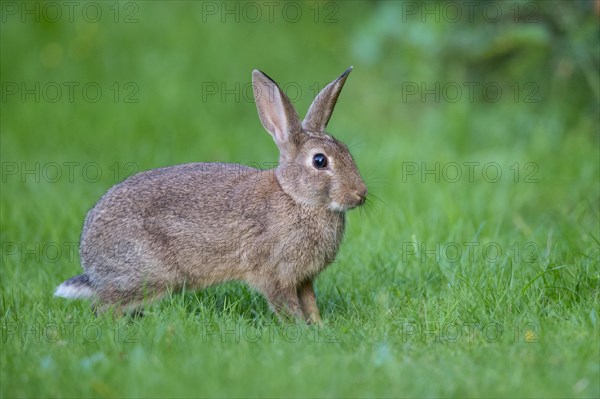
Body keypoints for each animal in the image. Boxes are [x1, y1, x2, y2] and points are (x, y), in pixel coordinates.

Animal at [55, 67, 366, 324]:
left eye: (346, 151)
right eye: (319, 161)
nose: (360, 194)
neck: (297, 198)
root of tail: (89, 257)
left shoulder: (304, 279)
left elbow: (310, 303)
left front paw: (319, 327)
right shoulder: (275, 274)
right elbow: (287, 306)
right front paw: (300, 330)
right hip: (148, 275)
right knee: (104, 306)